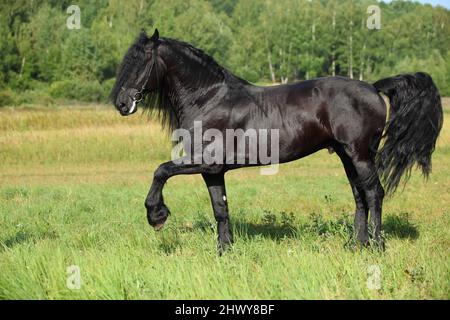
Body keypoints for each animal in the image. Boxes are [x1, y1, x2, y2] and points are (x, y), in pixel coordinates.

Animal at [111, 28, 442, 251]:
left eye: (141, 61)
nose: (121, 103)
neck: (209, 99)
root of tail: (373, 87)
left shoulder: (204, 162)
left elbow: (161, 170)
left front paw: (157, 215)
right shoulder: (213, 171)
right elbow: (220, 209)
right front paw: (225, 251)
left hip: (360, 154)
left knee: (374, 194)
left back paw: (376, 246)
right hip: (347, 155)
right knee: (360, 196)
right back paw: (356, 245)